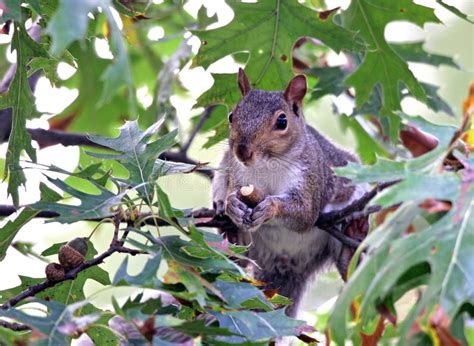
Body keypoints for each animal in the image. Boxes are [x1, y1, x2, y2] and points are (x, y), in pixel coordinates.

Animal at [213, 69, 368, 318]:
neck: (268, 164)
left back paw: (352, 240)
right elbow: (232, 194)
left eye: (282, 121)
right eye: (231, 116)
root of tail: (286, 262)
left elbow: (304, 213)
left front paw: (270, 207)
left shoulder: (311, 181)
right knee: (240, 258)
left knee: (347, 265)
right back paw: (233, 235)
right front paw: (231, 205)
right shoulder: (236, 173)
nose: (242, 151)